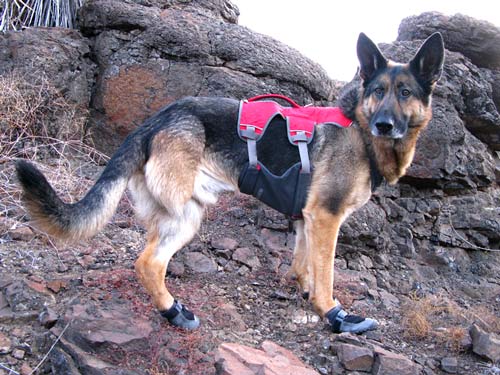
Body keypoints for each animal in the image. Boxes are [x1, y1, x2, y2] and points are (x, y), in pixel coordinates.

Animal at [16, 31, 446, 332]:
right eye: (377, 91)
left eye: (405, 92)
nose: (384, 124)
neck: (359, 127)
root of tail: (154, 120)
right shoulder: (326, 218)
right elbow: (326, 276)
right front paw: (335, 315)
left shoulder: (306, 220)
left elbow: (303, 265)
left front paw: (306, 295)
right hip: (186, 215)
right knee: (148, 262)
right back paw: (173, 312)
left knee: (147, 260)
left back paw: (172, 310)